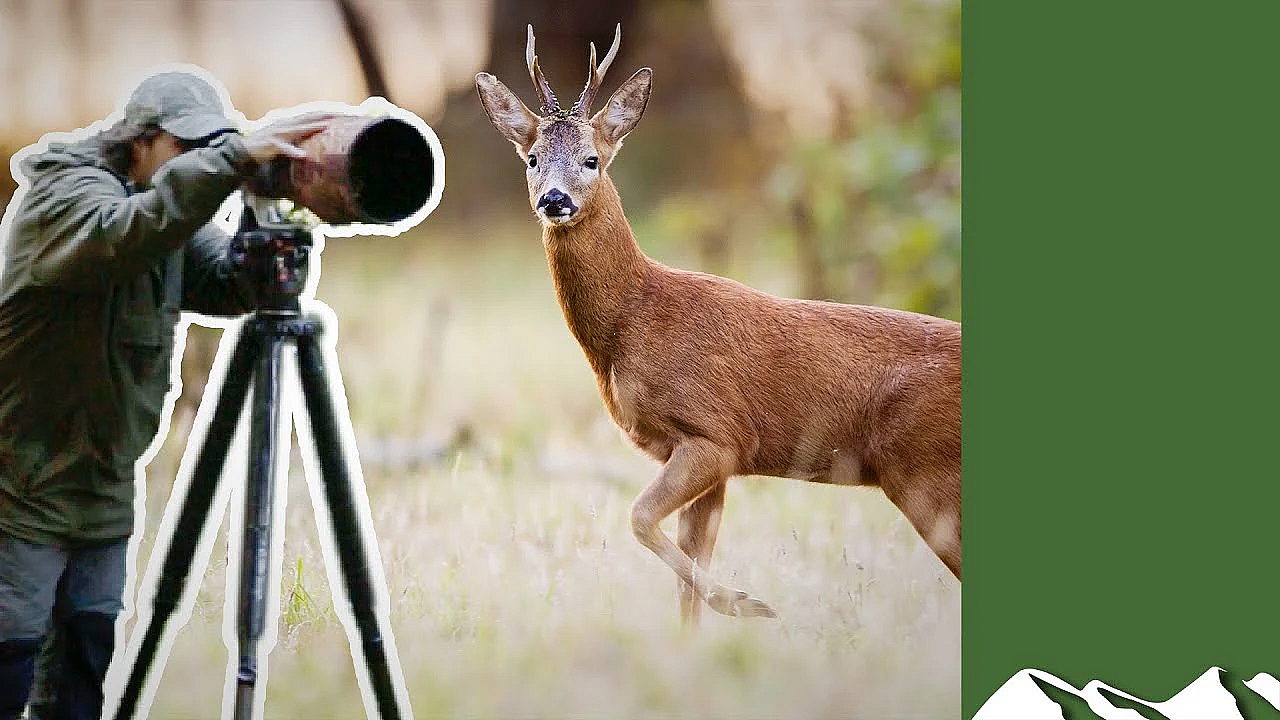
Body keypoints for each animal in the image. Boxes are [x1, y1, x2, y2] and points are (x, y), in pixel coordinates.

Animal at [475, 25, 961, 624]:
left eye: (591, 159)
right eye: (532, 159)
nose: (554, 199)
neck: (632, 320)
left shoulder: (716, 434)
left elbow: (640, 519)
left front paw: (746, 603)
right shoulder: (702, 454)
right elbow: (685, 577)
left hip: (923, 470)